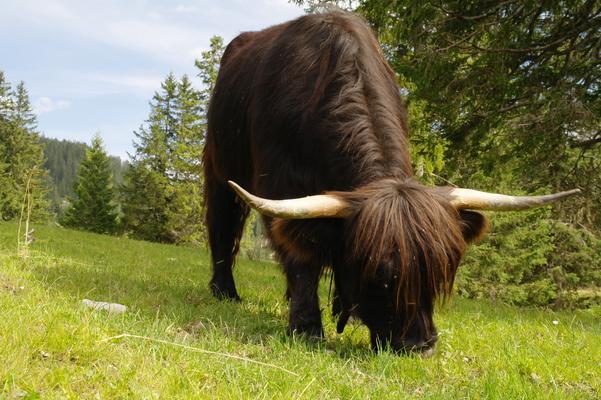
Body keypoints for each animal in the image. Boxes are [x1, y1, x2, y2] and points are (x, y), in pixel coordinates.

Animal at [203, 10, 576, 354]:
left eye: (439, 271)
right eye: (380, 277)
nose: (420, 346)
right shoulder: (280, 185)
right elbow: (300, 258)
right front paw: (306, 327)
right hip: (219, 168)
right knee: (223, 226)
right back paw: (225, 290)